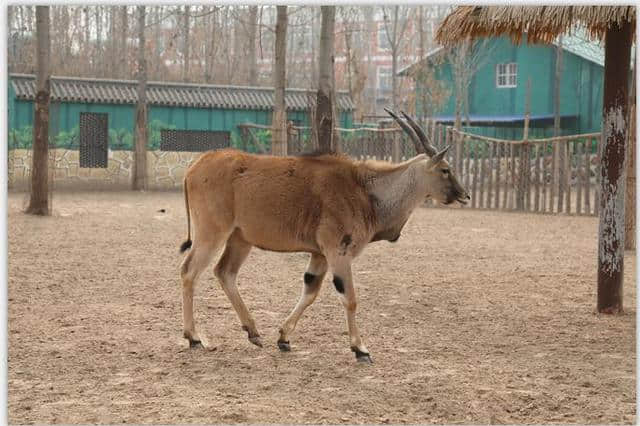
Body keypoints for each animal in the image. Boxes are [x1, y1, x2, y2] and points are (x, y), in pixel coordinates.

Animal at [178, 108, 468, 362]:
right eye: (445, 169)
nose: (464, 195)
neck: (365, 189)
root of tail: (193, 168)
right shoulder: (338, 252)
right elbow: (349, 298)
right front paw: (360, 348)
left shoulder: (319, 255)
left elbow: (310, 291)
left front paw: (283, 338)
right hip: (212, 235)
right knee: (189, 271)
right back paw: (194, 337)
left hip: (240, 239)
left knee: (224, 272)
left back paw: (253, 332)